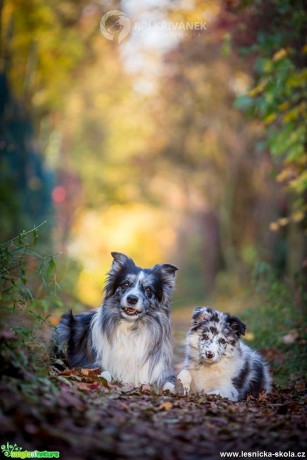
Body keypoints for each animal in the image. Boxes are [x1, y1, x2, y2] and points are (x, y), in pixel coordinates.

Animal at [53, 253, 178, 390]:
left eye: (149, 289)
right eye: (126, 284)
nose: (132, 299)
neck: (131, 328)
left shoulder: (161, 371)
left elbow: (170, 385)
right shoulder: (88, 363)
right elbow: (104, 372)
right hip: (64, 327)